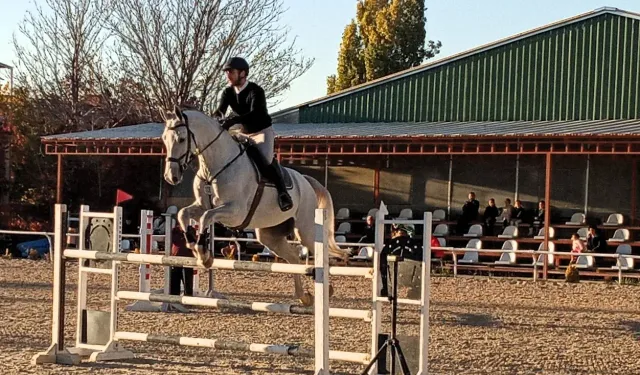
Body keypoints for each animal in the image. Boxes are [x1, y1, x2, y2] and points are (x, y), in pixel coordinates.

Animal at [161, 106, 350, 306]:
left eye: (181, 139)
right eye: (164, 138)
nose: (171, 177)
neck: (215, 166)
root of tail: (306, 181)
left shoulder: (234, 212)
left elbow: (206, 217)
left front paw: (203, 255)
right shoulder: (203, 205)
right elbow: (183, 213)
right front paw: (193, 245)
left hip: (306, 230)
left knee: (320, 254)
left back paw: (327, 289)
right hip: (270, 236)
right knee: (293, 258)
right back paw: (304, 296)